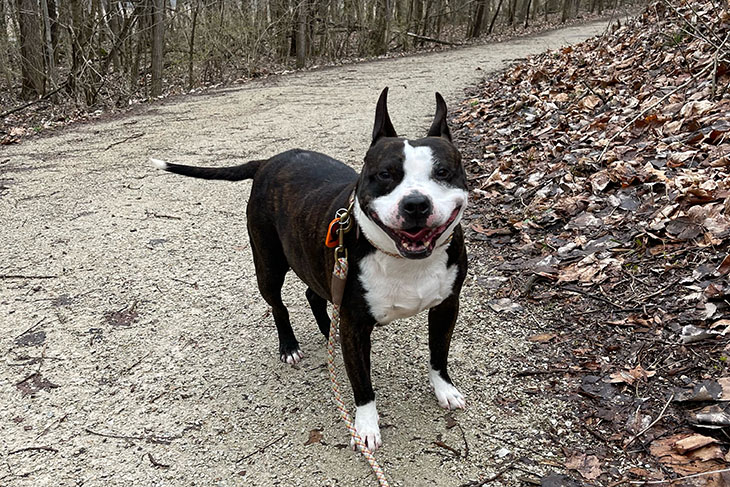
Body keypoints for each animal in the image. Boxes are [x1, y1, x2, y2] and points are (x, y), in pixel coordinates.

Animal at [151, 87, 466, 450]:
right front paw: (366, 426)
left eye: (442, 172)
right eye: (385, 175)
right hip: (269, 267)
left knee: (312, 294)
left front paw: (444, 389)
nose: (415, 204)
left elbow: (438, 354)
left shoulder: (446, 306)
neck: (402, 259)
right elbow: (362, 385)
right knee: (278, 305)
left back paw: (327, 328)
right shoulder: (356, 328)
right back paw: (289, 345)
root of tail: (267, 162)